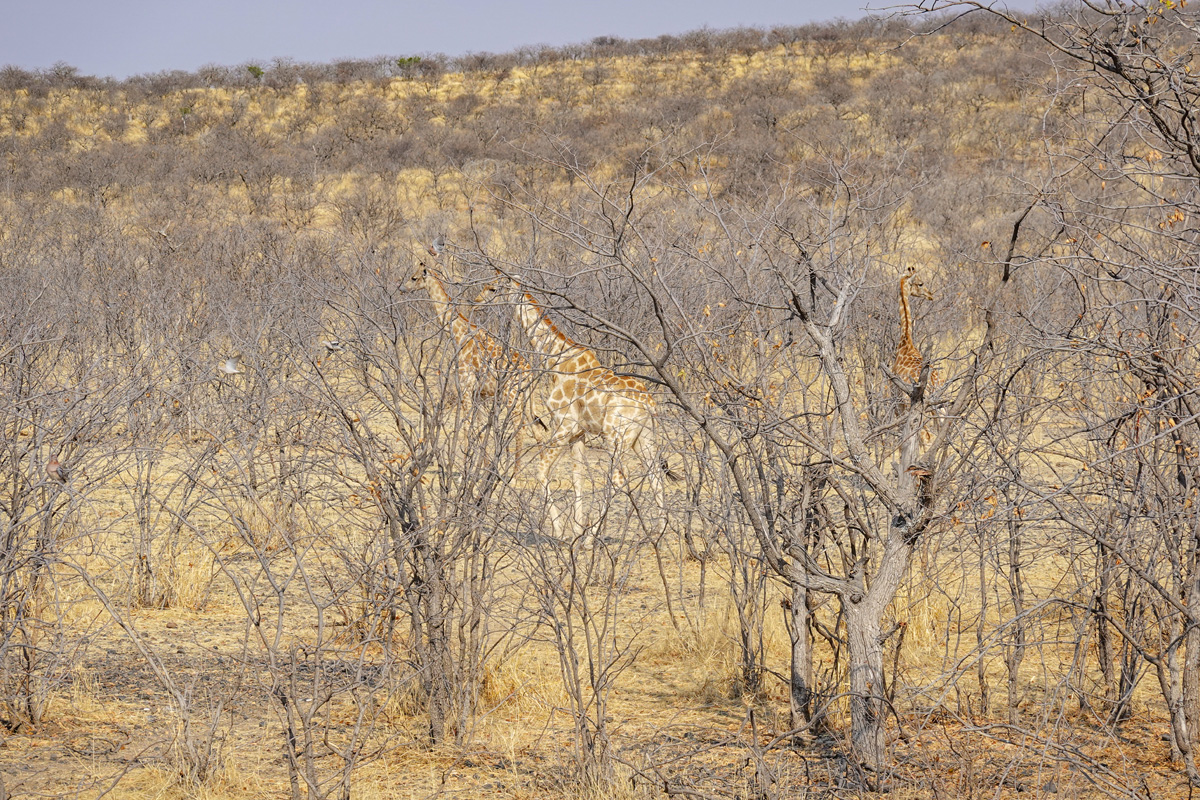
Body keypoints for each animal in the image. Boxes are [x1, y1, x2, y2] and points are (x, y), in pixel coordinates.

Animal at [503, 275, 675, 542]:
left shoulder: (564, 425)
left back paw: (591, 538)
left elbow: (541, 470)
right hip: (643, 438)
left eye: (500, 287)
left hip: (616, 437)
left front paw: (561, 531)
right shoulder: (578, 433)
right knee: (655, 474)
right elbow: (577, 478)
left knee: (618, 479)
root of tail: (649, 404)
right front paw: (574, 529)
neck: (555, 358)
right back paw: (657, 532)